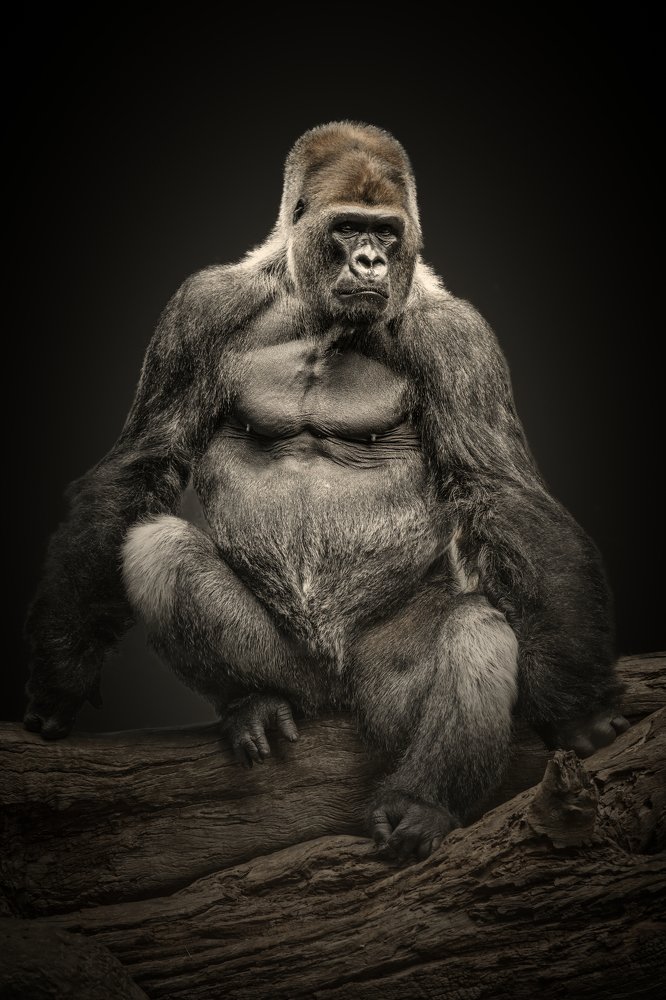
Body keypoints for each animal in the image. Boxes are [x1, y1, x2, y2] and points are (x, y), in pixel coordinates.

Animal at [24, 121, 628, 861]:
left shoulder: (458, 339)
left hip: (380, 694)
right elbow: (144, 464)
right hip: (297, 676)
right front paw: (63, 662)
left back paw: (422, 802)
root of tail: (335, 694)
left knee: (474, 627)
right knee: (157, 548)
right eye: (347, 228)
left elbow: (501, 493)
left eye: (387, 234)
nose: (369, 262)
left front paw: (579, 705)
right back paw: (250, 702)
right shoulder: (200, 307)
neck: (312, 306)